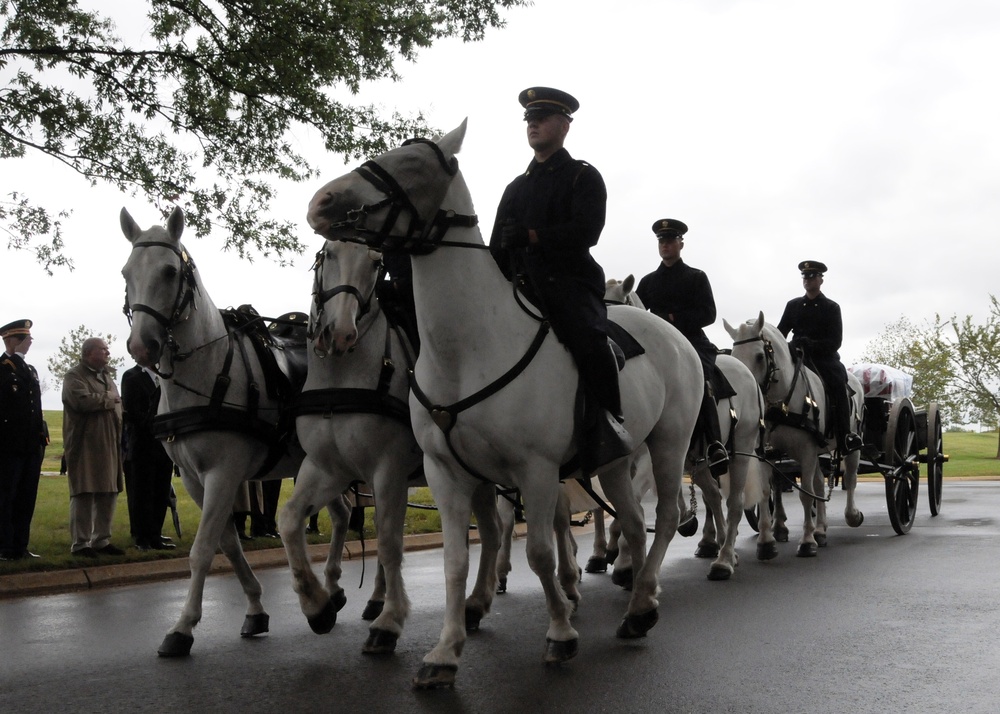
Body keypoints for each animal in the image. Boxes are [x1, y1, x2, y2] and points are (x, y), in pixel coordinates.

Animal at [119, 204, 304, 652]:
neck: (211, 371)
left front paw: (183, 626)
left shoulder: (224, 472)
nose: (142, 346)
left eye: (170, 271)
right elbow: (228, 543)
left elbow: (202, 550)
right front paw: (255, 609)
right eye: (126, 271)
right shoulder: (192, 478)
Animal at [304, 119, 704, 688]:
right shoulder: (446, 471)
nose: (323, 201)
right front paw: (445, 651)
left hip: (670, 443)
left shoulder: (534, 469)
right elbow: (455, 560)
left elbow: (538, 551)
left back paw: (644, 600)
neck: (467, 346)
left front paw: (560, 632)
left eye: (413, 164)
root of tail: (673, 334)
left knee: (666, 516)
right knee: (629, 520)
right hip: (614, 460)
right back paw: (637, 603)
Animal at [724, 312, 864, 556]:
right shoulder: (766, 454)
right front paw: (766, 541)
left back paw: (851, 515)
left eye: (759, 356)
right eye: (734, 356)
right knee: (819, 484)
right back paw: (821, 530)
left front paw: (807, 541)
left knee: (850, 477)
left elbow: (806, 494)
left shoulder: (806, 451)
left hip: (850, 445)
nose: (747, 395)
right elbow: (766, 491)